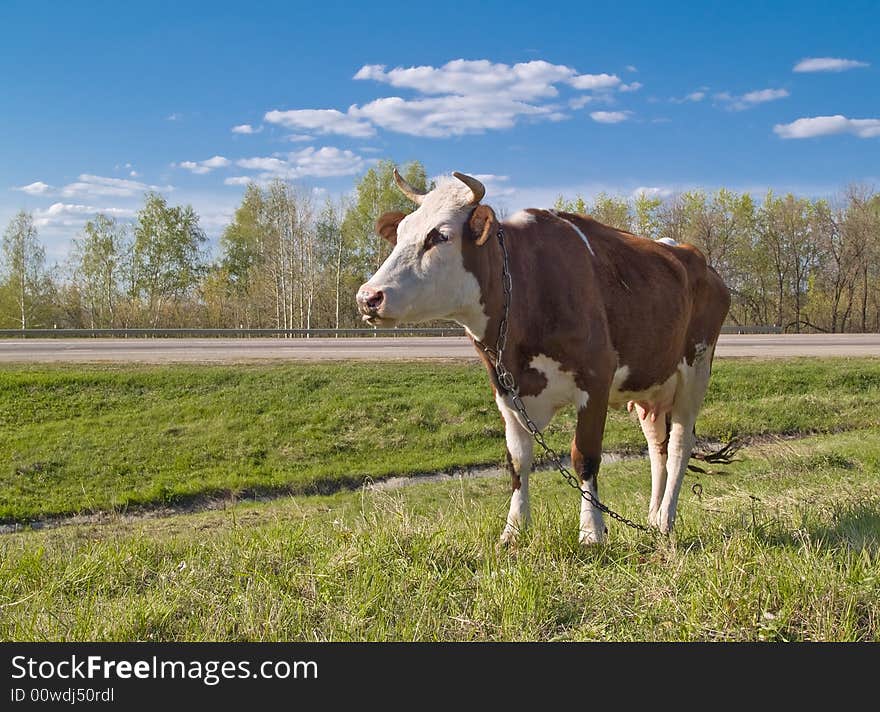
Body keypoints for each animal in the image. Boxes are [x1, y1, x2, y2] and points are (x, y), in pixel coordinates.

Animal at [356, 172, 728, 544]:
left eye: (439, 236)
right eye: (401, 232)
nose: (368, 297)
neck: (528, 286)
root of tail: (693, 256)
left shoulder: (596, 379)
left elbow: (585, 457)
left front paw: (591, 532)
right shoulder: (506, 390)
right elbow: (518, 460)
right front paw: (513, 530)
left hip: (696, 369)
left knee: (679, 444)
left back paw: (665, 520)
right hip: (650, 386)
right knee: (656, 447)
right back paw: (651, 519)